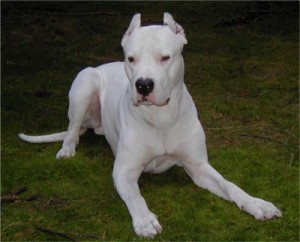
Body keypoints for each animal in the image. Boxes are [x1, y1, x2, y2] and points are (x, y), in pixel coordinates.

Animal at [19, 12, 282, 237]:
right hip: (85, 83)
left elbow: (229, 185)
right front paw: (145, 220)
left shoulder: (198, 166)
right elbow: (136, 196)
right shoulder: (124, 170)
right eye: (131, 59)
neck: (160, 118)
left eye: (165, 57)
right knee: (73, 130)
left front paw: (256, 203)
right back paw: (67, 150)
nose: (143, 85)